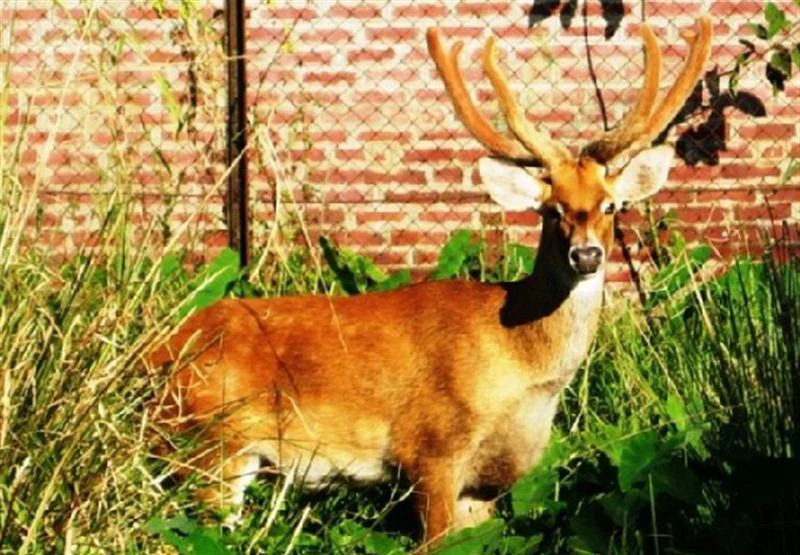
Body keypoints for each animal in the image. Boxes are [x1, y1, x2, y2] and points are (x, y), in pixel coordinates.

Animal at [148, 16, 712, 547]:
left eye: (611, 206)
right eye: (551, 210)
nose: (587, 254)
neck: (520, 366)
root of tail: (153, 358)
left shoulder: (482, 488)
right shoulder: (431, 449)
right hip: (212, 443)